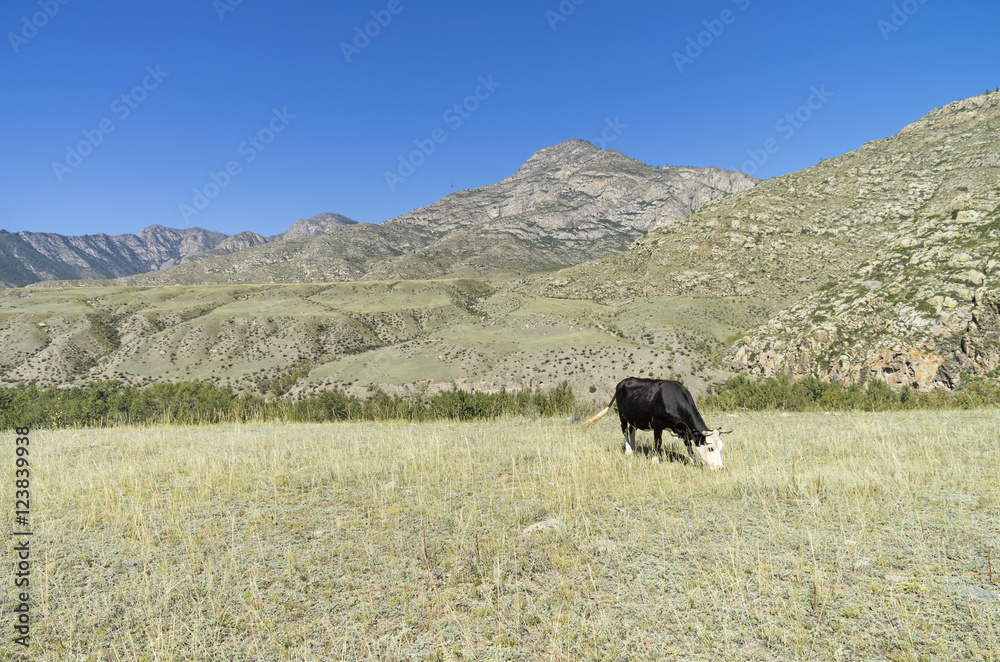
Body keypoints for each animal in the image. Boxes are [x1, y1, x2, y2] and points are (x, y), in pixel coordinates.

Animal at [579, 377, 730, 470]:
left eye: (721, 447)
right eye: (710, 448)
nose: (720, 468)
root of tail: (624, 381)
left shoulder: (684, 429)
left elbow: (688, 444)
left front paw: (693, 460)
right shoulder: (658, 424)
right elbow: (657, 443)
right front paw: (654, 462)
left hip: (634, 417)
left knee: (631, 430)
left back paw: (633, 449)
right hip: (621, 415)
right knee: (624, 430)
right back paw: (629, 451)